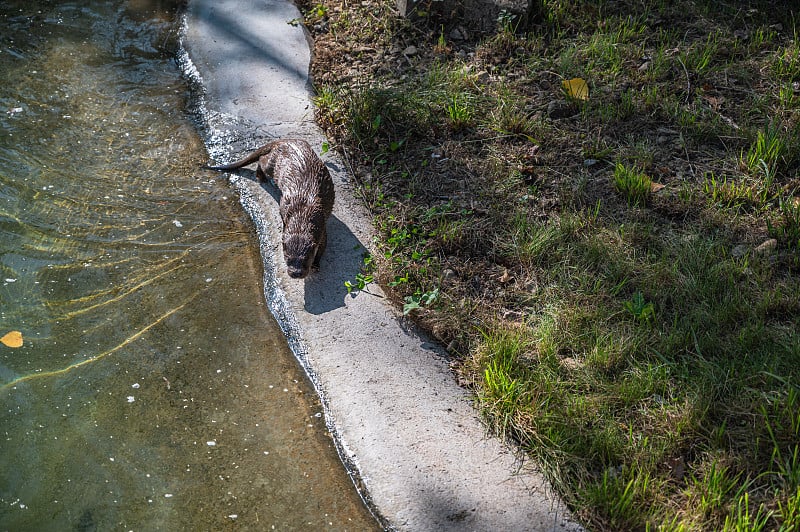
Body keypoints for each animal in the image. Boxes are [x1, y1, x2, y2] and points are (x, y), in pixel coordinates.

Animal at [206, 139, 334, 278]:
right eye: (288, 258)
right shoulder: (285, 206)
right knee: (262, 160)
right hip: (272, 164)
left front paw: (316, 265)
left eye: (305, 260)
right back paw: (261, 177)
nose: (295, 273)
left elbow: (322, 248)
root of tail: (284, 141)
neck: (303, 211)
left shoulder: (321, 227)